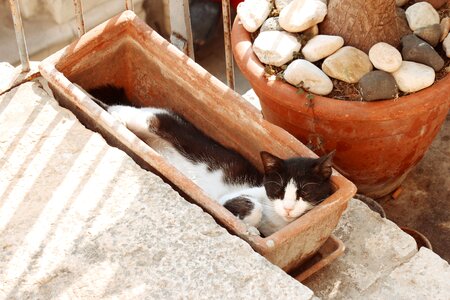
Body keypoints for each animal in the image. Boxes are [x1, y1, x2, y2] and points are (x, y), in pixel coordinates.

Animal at [79, 84, 336, 237]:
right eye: (279, 189)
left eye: (304, 191)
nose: (289, 208)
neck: (278, 223)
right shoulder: (233, 197)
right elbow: (251, 208)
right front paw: (249, 228)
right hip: (153, 120)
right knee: (115, 109)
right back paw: (113, 116)